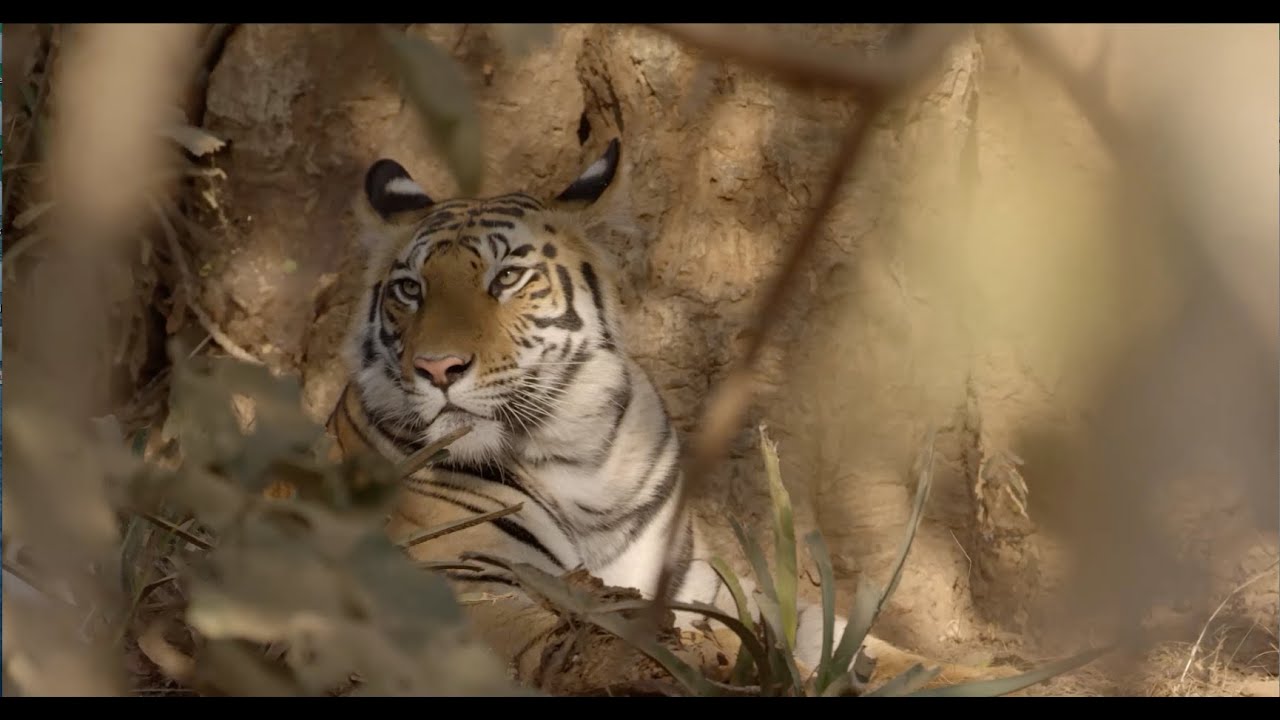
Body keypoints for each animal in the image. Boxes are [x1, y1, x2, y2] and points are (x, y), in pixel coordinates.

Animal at [326, 138, 1004, 693]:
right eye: (409, 289)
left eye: (508, 277)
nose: (437, 368)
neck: (570, 452)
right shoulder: (468, 586)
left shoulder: (701, 584)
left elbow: (849, 639)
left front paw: (975, 674)